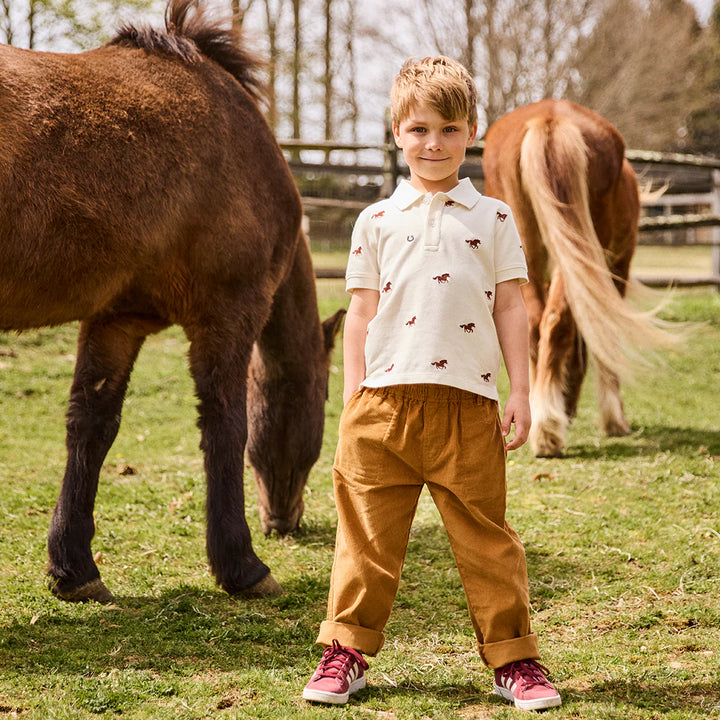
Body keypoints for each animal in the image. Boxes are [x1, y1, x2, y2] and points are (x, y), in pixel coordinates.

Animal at [0, 0, 344, 602]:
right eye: (324, 395)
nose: (284, 522)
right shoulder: (229, 313)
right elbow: (226, 425)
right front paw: (242, 566)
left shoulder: (118, 318)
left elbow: (92, 423)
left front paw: (75, 568)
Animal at [482, 99, 674, 458]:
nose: (569, 411)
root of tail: (549, 119)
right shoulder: (616, 271)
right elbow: (605, 338)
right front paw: (616, 420)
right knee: (558, 320)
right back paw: (549, 432)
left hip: (523, 246)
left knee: (535, 323)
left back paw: (542, 422)